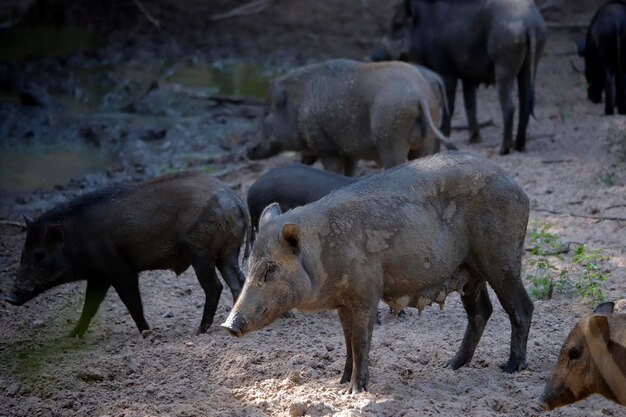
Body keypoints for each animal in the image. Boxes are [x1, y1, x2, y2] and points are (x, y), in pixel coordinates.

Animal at [5, 171, 249, 336]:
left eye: (40, 255)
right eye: (22, 254)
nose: (9, 297)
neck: (77, 240)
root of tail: (236, 199)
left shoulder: (120, 270)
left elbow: (131, 302)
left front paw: (147, 333)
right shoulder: (98, 276)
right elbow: (89, 305)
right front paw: (72, 336)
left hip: (201, 251)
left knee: (214, 286)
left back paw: (200, 330)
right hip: (227, 252)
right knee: (238, 281)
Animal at [222, 151, 528, 392]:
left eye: (270, 269)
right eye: (250, 264)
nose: (229, 326)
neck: (322, 255)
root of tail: (516, 186)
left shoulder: (365, 293)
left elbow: (360, 341)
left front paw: (355, 391)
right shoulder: (343, 302)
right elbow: (346, 340)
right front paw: (340, 383)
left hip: (502, 258)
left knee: (521, 306)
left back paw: (512, 368)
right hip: (470, 271)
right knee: (481, 311)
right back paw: (451, 366)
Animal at [245, 58, 454, 176]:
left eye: (266, 113)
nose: (247, 150)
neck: (300, 105)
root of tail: (419, 95)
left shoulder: (326, 148)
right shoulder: (349, 152)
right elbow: (349, 173)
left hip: (391, 135)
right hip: (426, 140)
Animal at [378, 0, 544, 154]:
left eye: (397, 25)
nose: (374, 56)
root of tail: (530, 23)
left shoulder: (445, 69)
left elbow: (450, 104)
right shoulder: (468, 76)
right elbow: (470, 104)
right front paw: (474, 139)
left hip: (504, 63)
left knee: (509, 107)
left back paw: (501, 149)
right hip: (529, 65)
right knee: (525, 103)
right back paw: (519, 146)